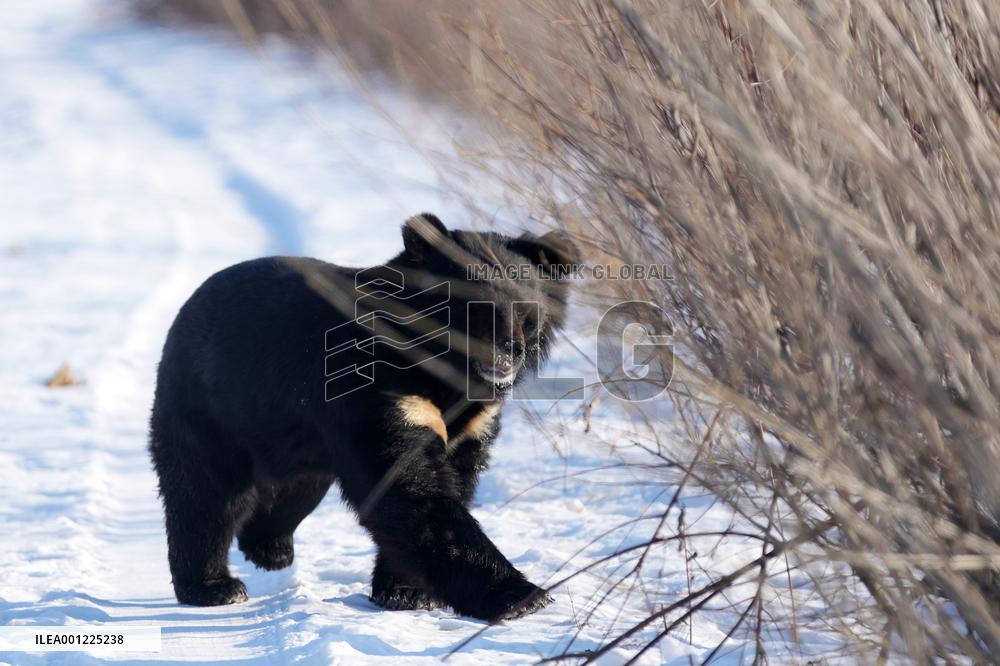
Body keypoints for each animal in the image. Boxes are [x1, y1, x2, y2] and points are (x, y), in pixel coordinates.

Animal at [148, 213, 578, 621]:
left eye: (526, 310)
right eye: (475, 307)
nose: (509, 351)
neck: (448, 372)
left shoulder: (472, 424)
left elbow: (448, 482)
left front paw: (407, 593)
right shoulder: (378, 391)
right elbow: (406, 486)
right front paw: (521, 597)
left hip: (294, 444)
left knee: (291, 494)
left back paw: (271, 550)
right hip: (211, 408)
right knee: (204, 494)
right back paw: (215, 586)